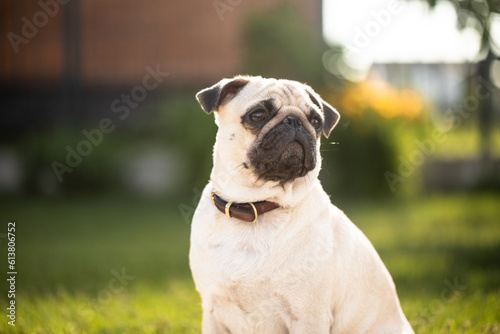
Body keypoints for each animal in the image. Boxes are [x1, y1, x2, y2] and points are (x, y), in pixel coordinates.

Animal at [189, 75, 412, 334]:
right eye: (257, 115)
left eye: (316, 121)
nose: (294, 121)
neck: (255, 205)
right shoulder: (213, 312)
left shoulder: (308, 315)